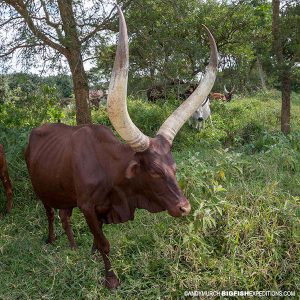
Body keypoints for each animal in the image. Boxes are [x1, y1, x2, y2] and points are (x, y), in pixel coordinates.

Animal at [25, 5, 218, 290]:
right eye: (155, 171)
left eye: (174, 167)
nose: (185, 207)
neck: (110, 172)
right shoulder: (87, 207)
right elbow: (104, 243)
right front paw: (111, 278)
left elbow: (96, 242)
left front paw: (90, 255)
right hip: (42, 190)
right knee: (50, 213)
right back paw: (50, 240)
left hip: (63, 193)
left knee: (64, 216)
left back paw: (72, 246)